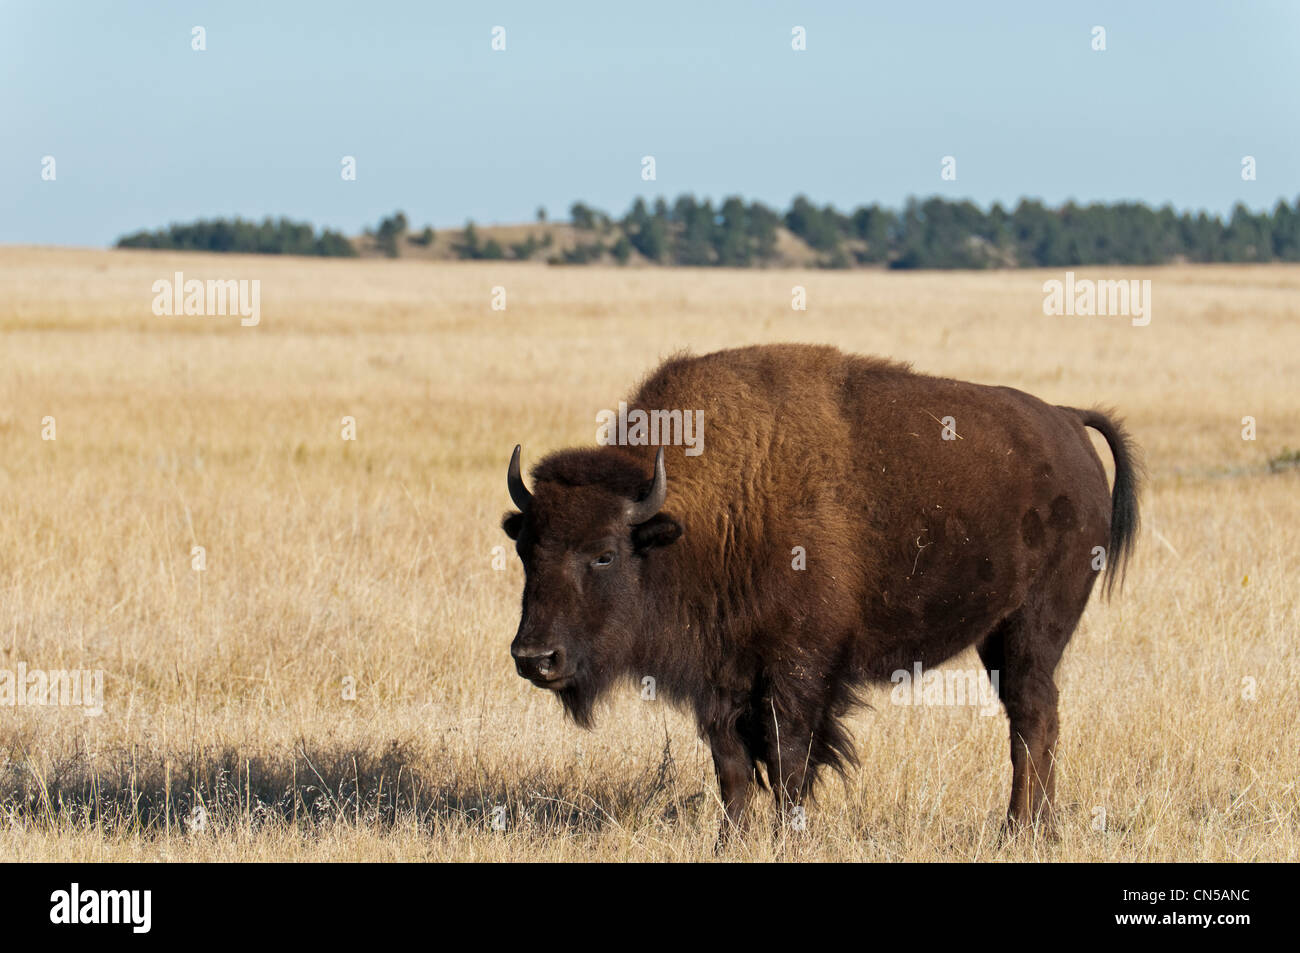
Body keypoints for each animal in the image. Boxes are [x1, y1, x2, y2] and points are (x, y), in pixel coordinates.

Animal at [502, 344, 1140, 839]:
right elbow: (732, 768)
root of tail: (1066, 422)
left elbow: (789, 761)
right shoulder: (722, 677)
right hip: (999, 638)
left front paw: (787, 837)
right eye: (526, 549)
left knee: (1034, 719)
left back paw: (1018, 830)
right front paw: (730, 842)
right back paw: (1034, 829)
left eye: (604, 553)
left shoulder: (798, 668)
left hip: (1032, 629)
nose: (536, 658)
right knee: (1031, 720)